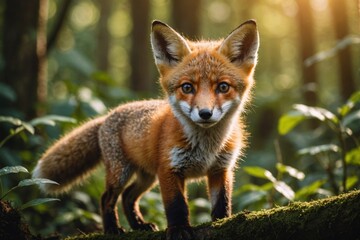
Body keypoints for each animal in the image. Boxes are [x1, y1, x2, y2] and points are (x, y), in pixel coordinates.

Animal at [33, 19, 258, 239]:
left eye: (223, 87)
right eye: (187, 87)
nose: (205, 113)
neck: (207, 147)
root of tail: (109, 114)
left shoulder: (221, 169)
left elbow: (222, 203)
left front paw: (223, 223)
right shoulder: (168, 169)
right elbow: (176, 205)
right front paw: (179, 229)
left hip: (147, 176)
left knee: (127, 197)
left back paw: (139, 225)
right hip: (121, 172)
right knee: (107, 197)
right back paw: (112, 229)